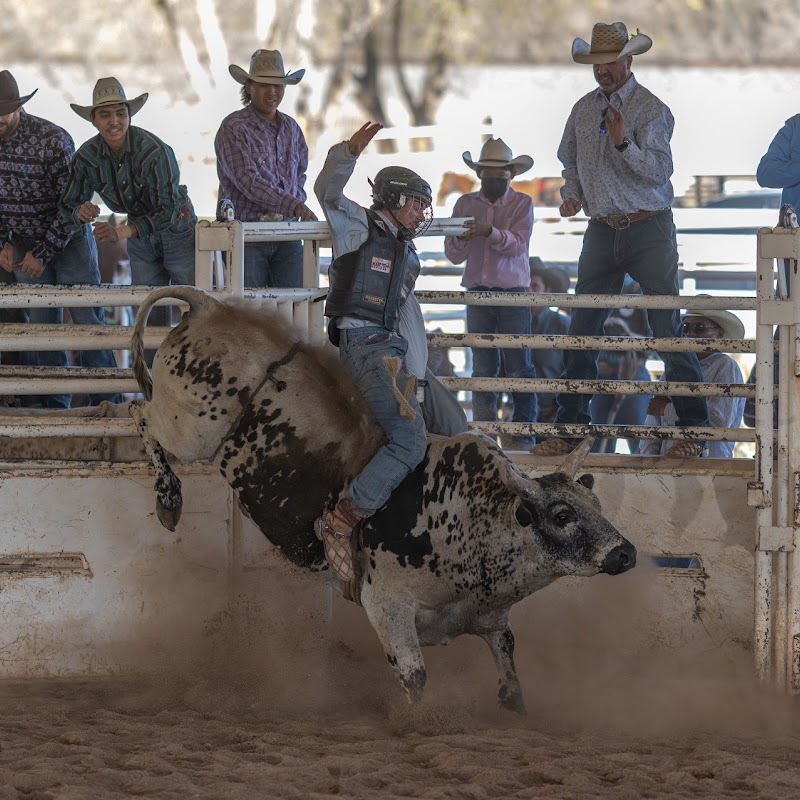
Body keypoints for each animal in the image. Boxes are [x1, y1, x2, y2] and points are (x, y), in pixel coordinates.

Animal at [128, 288, 636, 712]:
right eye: (562, 514)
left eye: (596, 506)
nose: (626, 553)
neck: (466, 521)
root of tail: (208, 307)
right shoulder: (388, 606)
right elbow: (414, 677)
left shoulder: (490, 619)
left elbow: (510, 674)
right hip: (191, 431)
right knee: (140, 414)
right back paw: (168, 500)